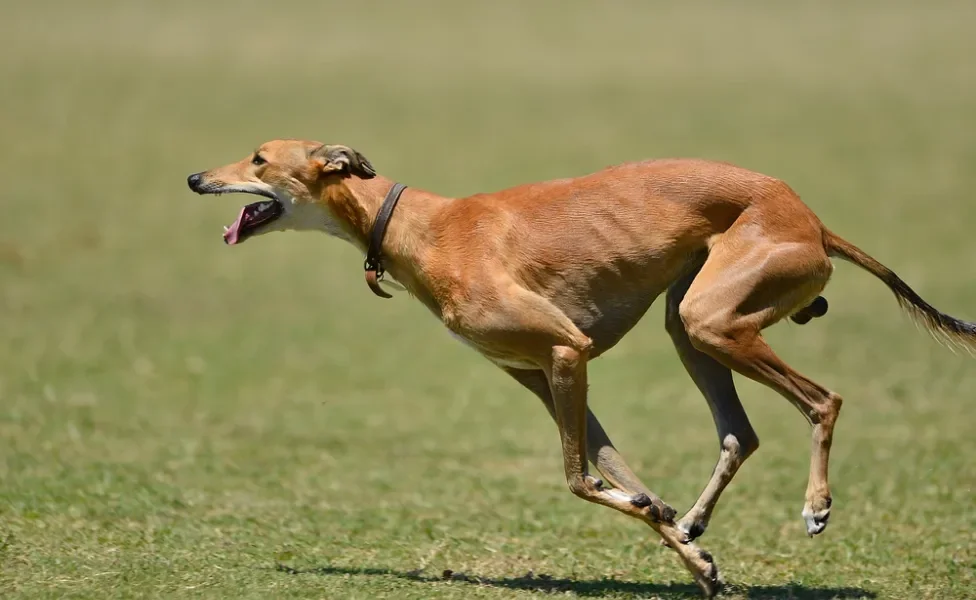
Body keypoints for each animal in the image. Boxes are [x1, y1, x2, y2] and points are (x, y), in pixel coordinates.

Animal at [187, 139, 972, 596]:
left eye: (259, 158)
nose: (195, 177)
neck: (420, 227)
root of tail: (810, 217)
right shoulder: (544, 377)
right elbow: (621, 479)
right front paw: (690, 554)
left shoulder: (569, 352)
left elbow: (576, 479)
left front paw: (674, 531)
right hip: (691, 324)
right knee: (739, 434)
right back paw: (696, 520)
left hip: (715, 322)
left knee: (823, 400)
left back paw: (816, 506)